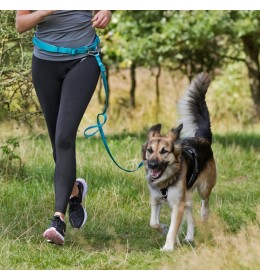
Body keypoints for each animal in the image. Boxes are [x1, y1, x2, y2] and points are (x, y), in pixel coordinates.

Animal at [141, 72, 216, 252]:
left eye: (164, 151)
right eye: (150, 150)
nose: (152, 165)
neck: (166, 180)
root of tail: (202, 139)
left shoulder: (177, 204)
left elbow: (174, 227)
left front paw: (168, 246)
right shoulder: (156, 199)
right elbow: (153, 223)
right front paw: (163, 228)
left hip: (204, 188)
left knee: (205, 203)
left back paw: (204, 217)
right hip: (186, 195)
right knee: (190, 215)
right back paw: (189, 236)